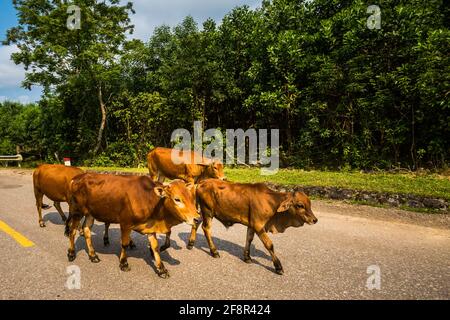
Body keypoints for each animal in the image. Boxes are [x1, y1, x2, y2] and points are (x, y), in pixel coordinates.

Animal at [66, 172, 200, 278]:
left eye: (192, 198)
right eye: (177, 199)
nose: (197, 219)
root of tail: (77, 177)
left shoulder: (150, 227)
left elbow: (155, 247)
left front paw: (161, 269)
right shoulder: (125, 223)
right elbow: (124, 244)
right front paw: (124, 263)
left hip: (90, 213)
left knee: (86, 230)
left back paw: (93, 255)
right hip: (77, 211)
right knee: (72, 231)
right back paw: (71, 253)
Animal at [188, 180, 318, 276]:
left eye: (310, 204)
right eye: (300, 205)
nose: (314, 220)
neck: (272, 203)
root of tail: (201, 183)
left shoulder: (251, 225)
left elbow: (249, 239)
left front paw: (247, 257)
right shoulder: (258, 225)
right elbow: (269, 245)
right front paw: (278, 267)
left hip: (202, 212)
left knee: (195, 223)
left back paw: (190, 244)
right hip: (207, 211)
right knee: (206, 228)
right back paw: (214, 251)